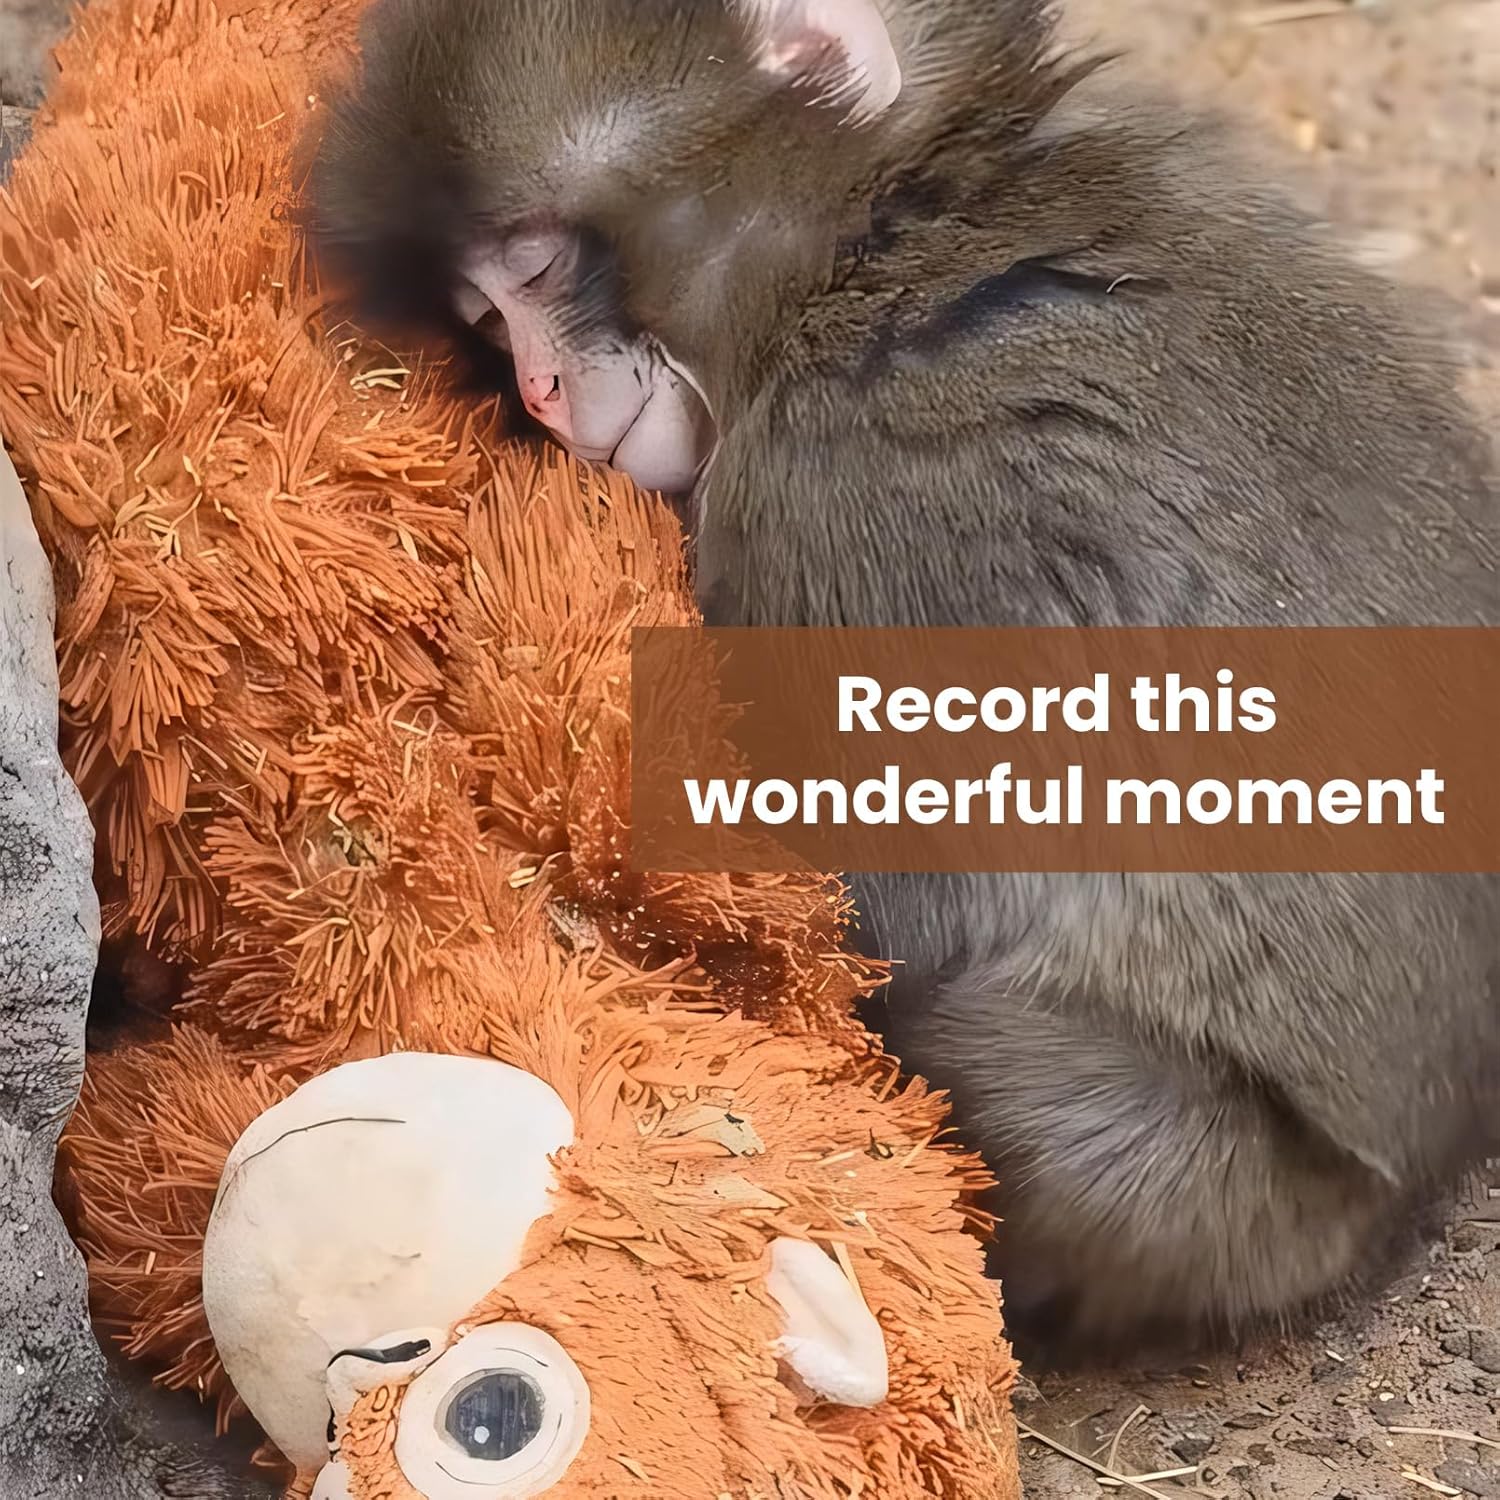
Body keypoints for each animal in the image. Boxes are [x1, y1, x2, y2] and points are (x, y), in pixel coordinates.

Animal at [308, 0, 1500, 1357]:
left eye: (542, 268)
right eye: (484, 317)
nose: (543, 390)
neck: (883, 245)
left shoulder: (837, 495)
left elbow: (902, 895)